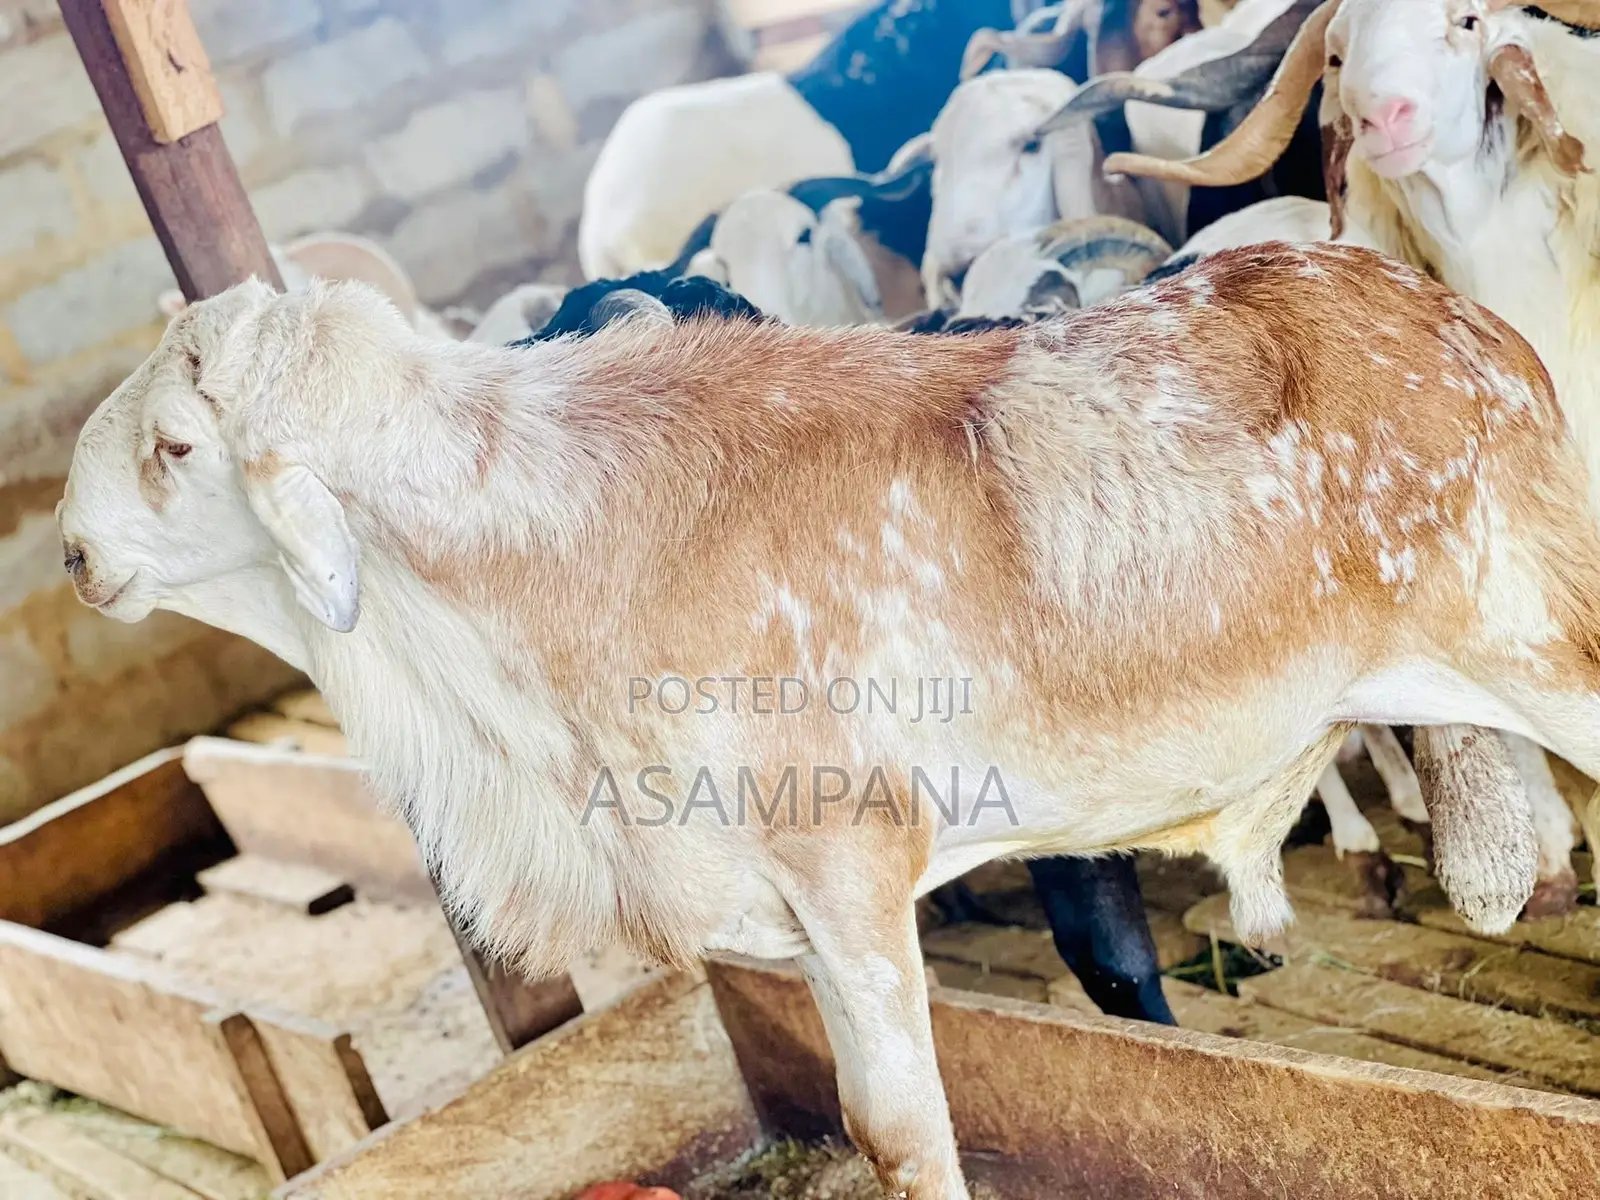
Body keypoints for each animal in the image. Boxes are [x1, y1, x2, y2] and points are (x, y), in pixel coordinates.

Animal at [60, 244, 1600, 1198]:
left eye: (178, 448)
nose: (71, 553)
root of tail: (1448, 314)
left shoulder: (851, 874)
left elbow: (906, 1133)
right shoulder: (791, 920)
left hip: (1546, 648)